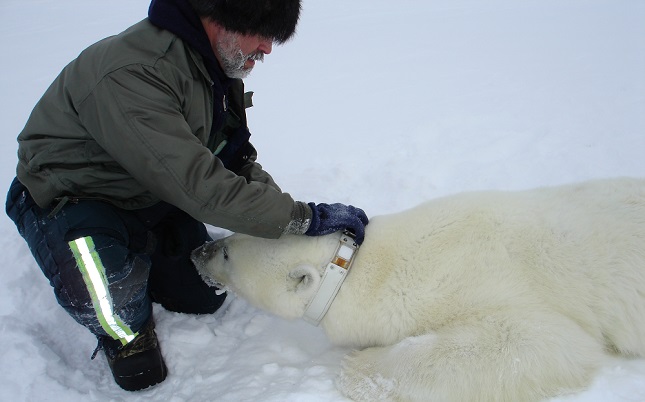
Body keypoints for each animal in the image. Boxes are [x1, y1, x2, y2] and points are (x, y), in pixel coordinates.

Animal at [192, 179, 645, 402]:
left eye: (227, 252)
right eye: (230, 236)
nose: (199, 250)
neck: (355, 265)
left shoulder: (482, 277)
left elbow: (540, 340)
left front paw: (357, 366)